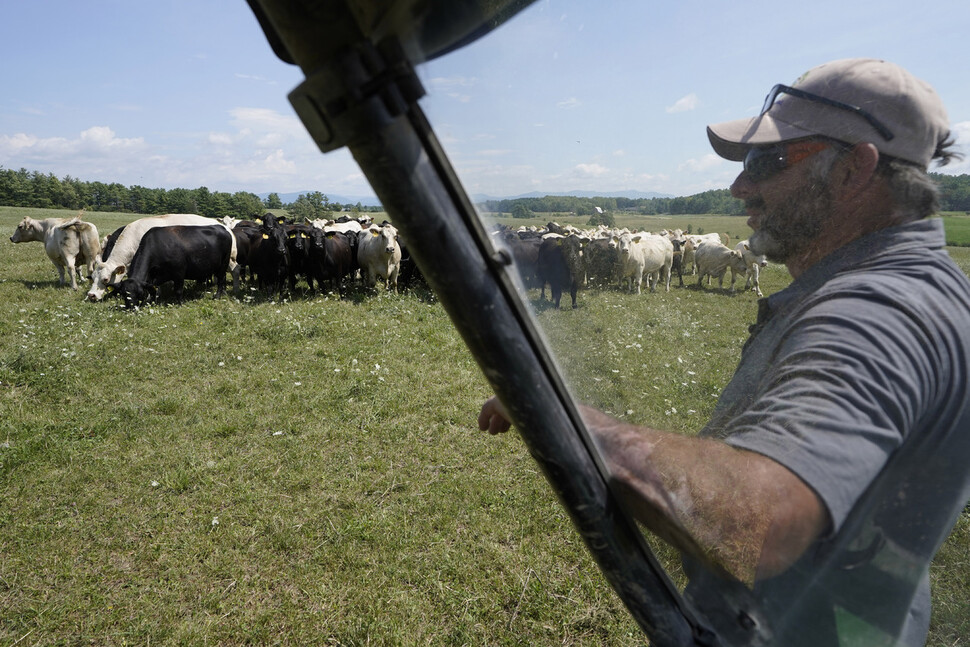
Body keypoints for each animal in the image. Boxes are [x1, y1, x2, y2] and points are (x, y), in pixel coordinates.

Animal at [86, 214, 238, 302]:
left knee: (231, 272)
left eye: (106, 279)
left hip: (228, 260)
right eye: (92, 277)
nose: (91, 295)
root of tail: (225, 227)